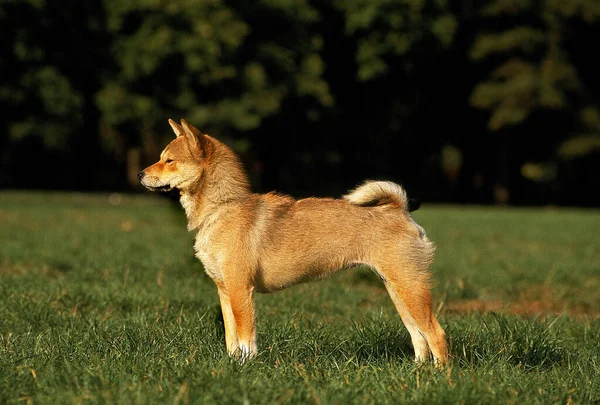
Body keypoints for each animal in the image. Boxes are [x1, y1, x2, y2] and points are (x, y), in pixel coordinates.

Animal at [138, 119, 448, 362]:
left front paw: (245, 368)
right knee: (418, 336)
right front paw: (231, 365)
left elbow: (246, 339)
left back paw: (440, 377)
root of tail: (399, 208)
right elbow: (230, 338)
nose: (140, 174)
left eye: (169, 160)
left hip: (410, 288)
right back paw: (418, 372)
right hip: (398, 291)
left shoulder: (241, 291)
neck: (223, 208)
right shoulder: (225, 291)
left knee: (436, 334)